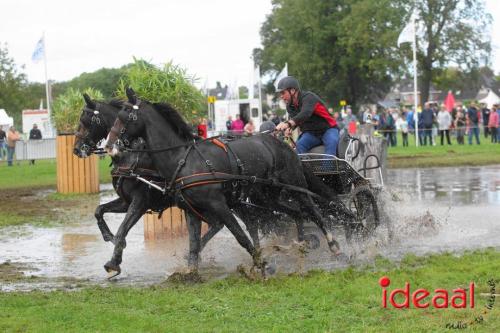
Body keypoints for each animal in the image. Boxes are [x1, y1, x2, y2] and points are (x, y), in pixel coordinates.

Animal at [107, 88, 346, 272]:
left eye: (126, 116)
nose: (110, 145)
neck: (184, 160)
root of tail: (284, 144)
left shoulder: (219, 205)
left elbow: (240, 236)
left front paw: (262, 265)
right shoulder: (190, 210)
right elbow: (194, 244)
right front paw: (189, 273)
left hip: (295, 185)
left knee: (313, 211)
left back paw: (334, 245)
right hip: (267, 196)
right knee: (296, 213)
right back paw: (301, 244)